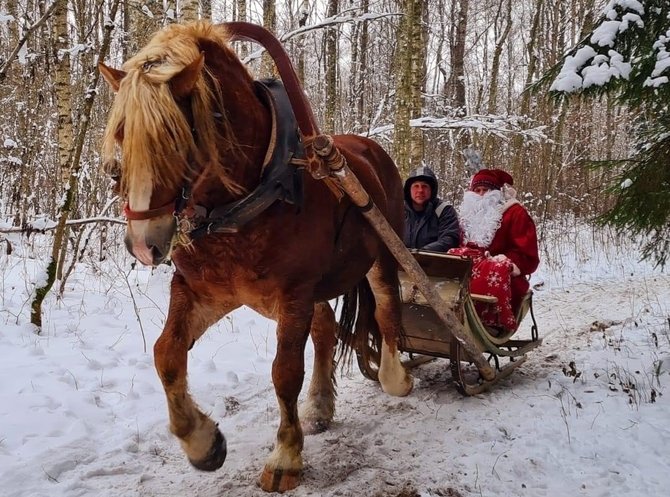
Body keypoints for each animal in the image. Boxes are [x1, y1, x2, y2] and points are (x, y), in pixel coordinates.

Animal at [100, 21, 414, 490]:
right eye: (121, 136)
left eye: (174, 139)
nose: (143, 243)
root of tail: (371, 149)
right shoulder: (202, 290)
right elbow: (166, 354)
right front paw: (203, 442)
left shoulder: (294, 293)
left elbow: (284, 372)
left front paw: (285, 456)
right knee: (325, 329)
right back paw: (319, 406)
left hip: (382, 252)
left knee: (387, 306)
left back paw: (395, 376)